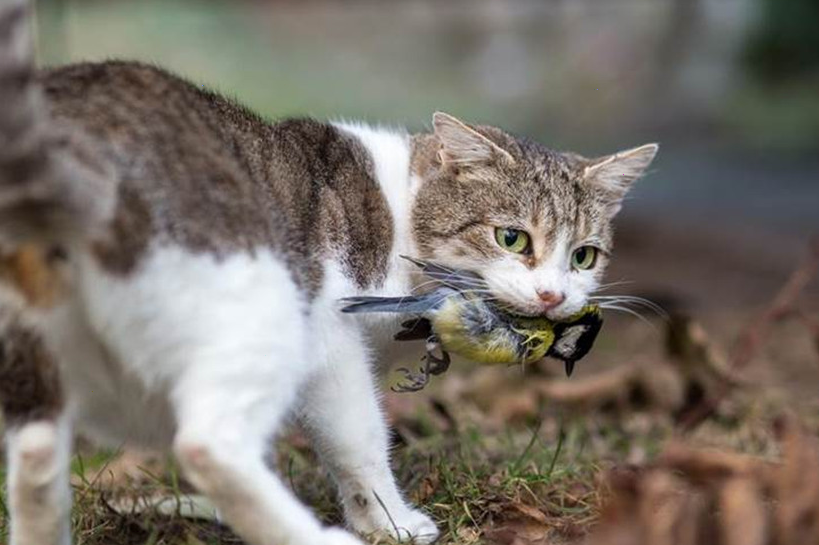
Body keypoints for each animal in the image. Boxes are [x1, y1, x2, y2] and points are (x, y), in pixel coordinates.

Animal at [0, 1, 652, 544]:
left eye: (584, 256)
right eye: (512, 238)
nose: (552, 296)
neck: (398, 209)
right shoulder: (329, 338)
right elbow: (357, 440)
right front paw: (389, 522)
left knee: (34, 461)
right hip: (262, 310)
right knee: (208, 444)